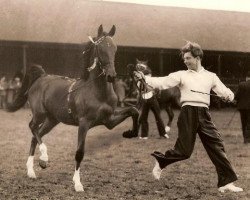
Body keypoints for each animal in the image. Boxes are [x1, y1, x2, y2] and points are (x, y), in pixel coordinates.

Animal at [6, 25, 139, 192]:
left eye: (115, 48)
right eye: (100, 48)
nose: (111, 76)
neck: (97, 91)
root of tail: (42, 76)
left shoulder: (109, 120)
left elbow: (134, 110)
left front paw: (130, 133)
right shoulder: (84, 123)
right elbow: (79, 152)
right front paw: (78, 184)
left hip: (52, 120)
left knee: (35, 136)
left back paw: (33, 169)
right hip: (39, 114)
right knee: (32, 128)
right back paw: (43, 158)